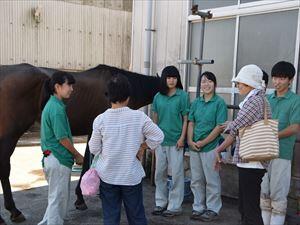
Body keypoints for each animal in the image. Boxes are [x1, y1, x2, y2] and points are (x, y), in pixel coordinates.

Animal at [0, 62, 162, 224]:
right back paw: (13, 211)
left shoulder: (92, 131)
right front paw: (83, 197)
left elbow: (86, 162)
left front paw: (80, 196)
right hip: (10, 135)